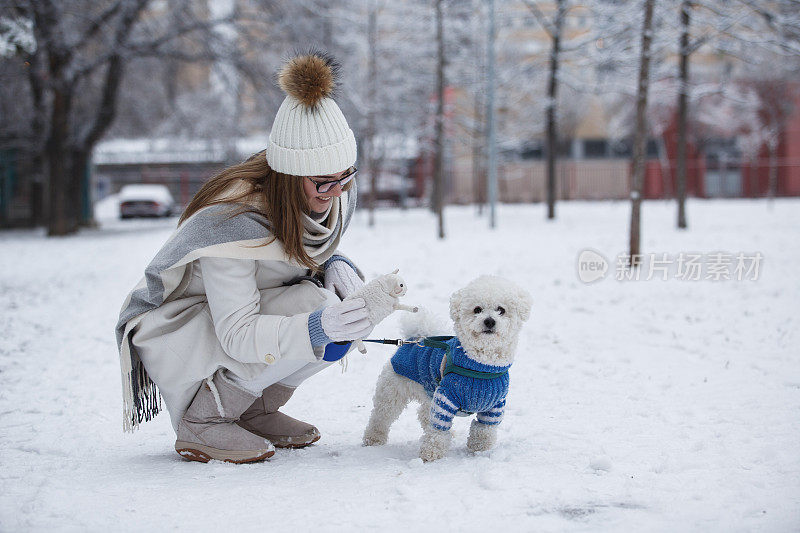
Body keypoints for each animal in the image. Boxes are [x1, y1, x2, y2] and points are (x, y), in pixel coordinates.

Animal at [364, 274, 532, 462]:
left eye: (501, 310)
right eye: (477, 309)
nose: (489, 321)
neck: (481, 367)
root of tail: (415, 339)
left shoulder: (495, 405)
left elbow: (484, 430)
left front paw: (480, 449)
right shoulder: (445, 398)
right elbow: (437, 430)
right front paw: (431, 454)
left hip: (429, 392)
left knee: (423, 414)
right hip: (393, 390)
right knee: (381, 416)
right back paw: (373, 439)